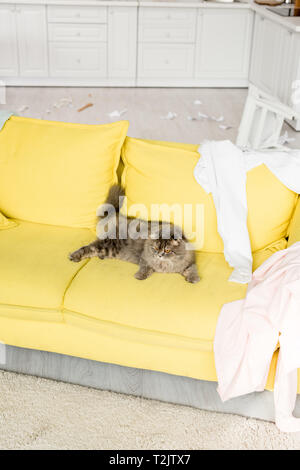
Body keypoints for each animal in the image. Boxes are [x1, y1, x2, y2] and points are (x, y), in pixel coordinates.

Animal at [68, 186, 199, 282]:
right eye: (156, 248)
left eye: (167, 250)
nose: (159, 255)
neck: (165, 264)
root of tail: (116, 216)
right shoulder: (144, 258)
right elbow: (146, 268)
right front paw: (140, 276)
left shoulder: (189, 262)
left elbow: (192, 269)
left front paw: (194, 279)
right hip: (108, 245)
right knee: (88, 248)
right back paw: (74, 256)